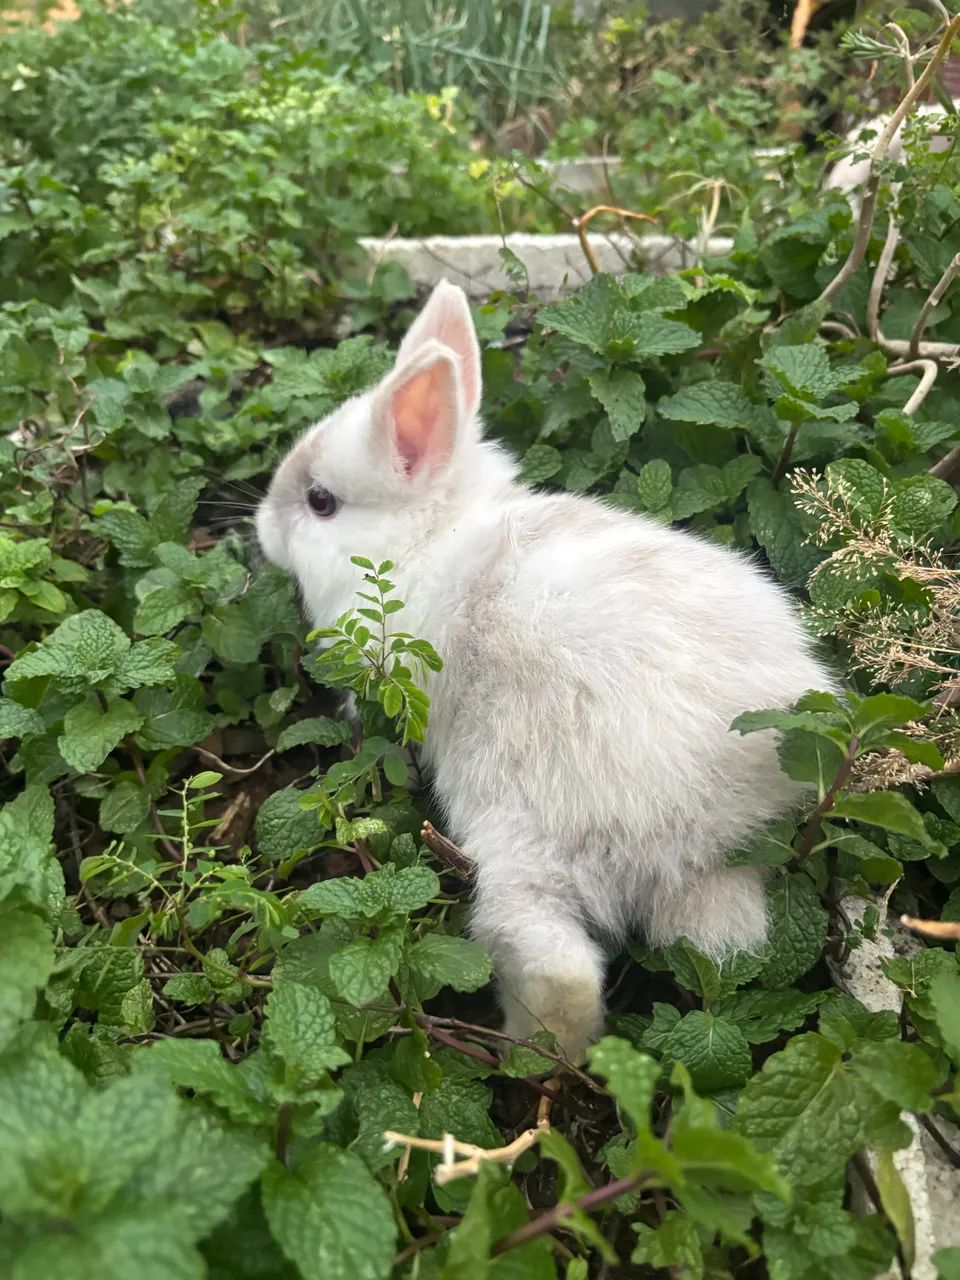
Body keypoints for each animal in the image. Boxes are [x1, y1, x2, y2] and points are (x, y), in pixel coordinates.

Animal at [256, 279, 833, 1062]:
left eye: (321, 503)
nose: (261, 526)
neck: (423, 542)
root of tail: (712, 814)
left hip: (519, 820)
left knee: (553, 960)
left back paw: (535, 1053)